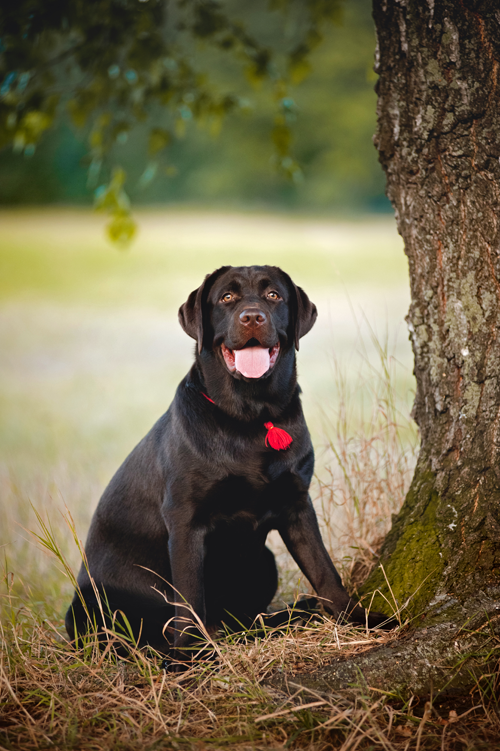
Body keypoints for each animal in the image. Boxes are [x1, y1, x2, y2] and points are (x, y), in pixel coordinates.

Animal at [66, 264, 392, 656]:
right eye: (226, 297)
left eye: (273, 295)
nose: (252, 316)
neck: (250, 418)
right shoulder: (185, 520)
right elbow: (189, 598)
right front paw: (186, 660)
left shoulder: (297, 503)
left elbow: (324, 571)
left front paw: (361, 619)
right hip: (92, 607)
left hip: (263, 561)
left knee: (246, 620)